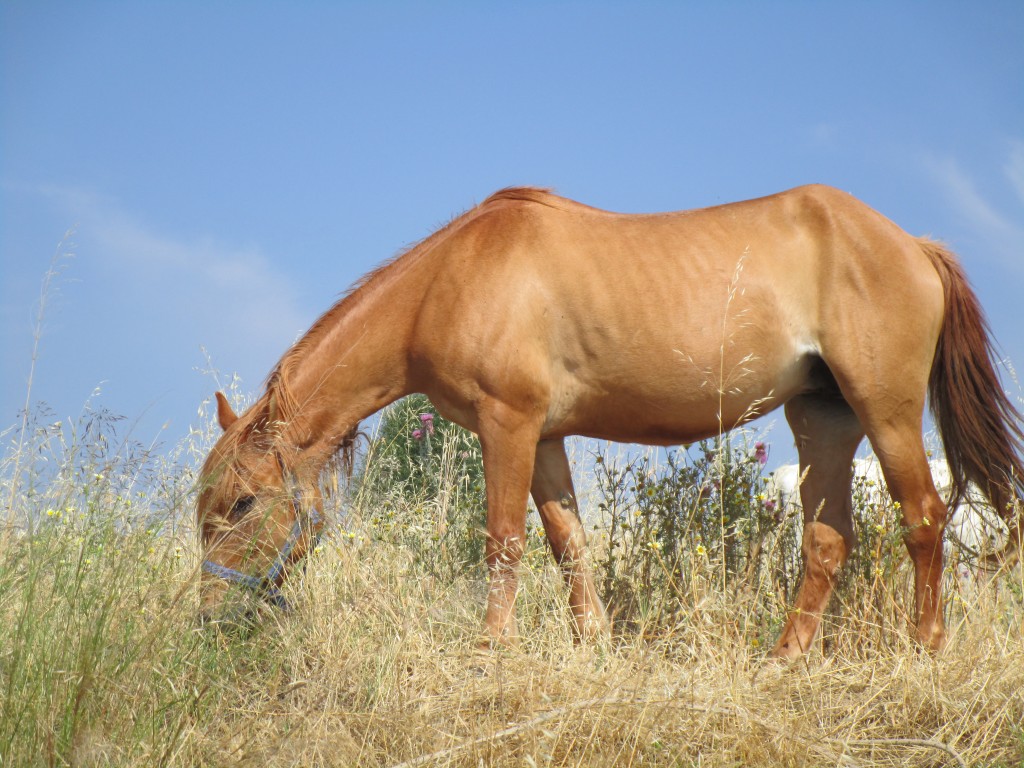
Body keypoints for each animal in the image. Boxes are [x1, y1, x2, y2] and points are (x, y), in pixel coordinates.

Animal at [193, 183, 1024, 659]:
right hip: (823, 416)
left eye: (241, 503)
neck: (451, 280)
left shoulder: (508, 424)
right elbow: (568, 543)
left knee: (923, 516)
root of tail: (913, 245)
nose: (212, 616)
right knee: (826, 540)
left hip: (886, 409)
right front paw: (592, 643)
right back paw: (783, 658)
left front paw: (492, 649)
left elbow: (503, 541)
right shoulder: (546, 434)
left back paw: (924, 645)